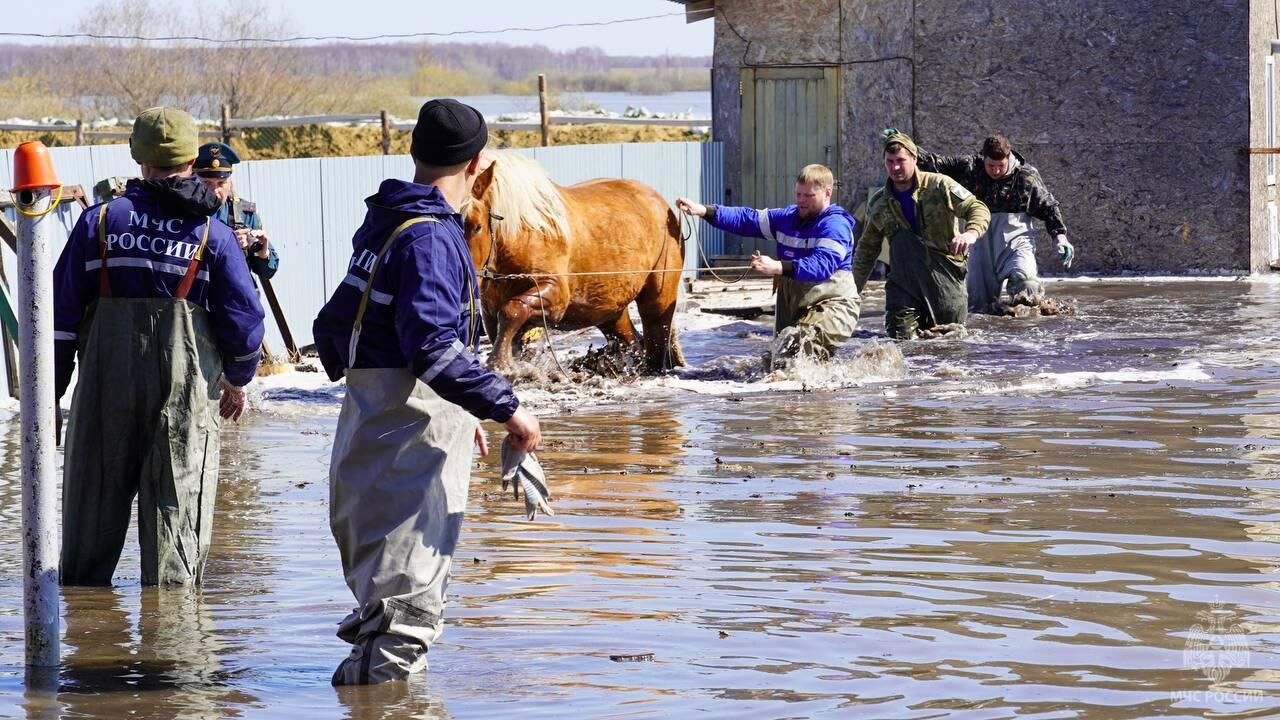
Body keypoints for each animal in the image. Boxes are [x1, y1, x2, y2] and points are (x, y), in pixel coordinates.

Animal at [468, 147, 691, 368]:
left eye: (477, 226)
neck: (523, 232)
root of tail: (664, 206)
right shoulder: (490, 310)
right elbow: (506, 329)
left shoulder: (554, 293)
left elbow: (512, 310)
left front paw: (499, 363)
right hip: (609, 309)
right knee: (632, 342)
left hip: (658, 298)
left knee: (656, 339)